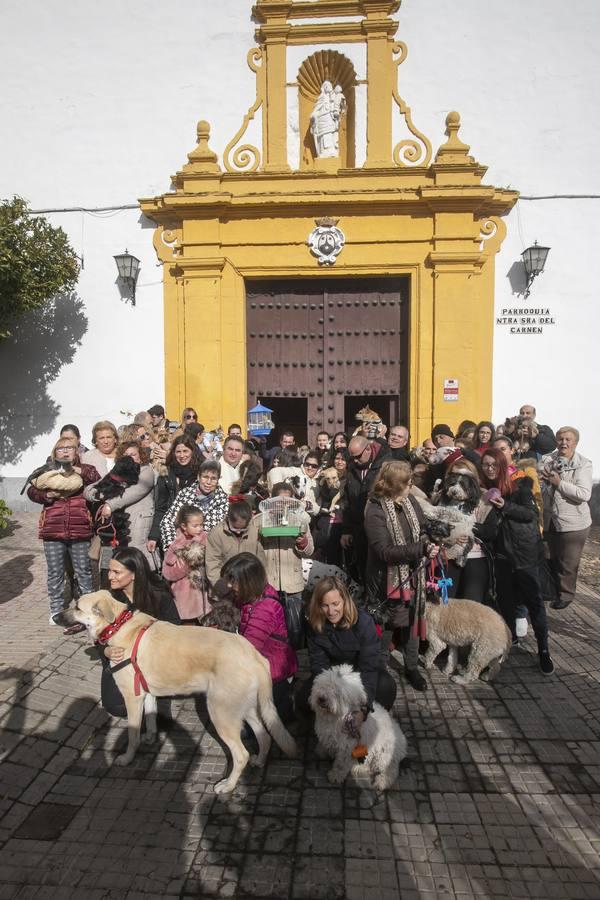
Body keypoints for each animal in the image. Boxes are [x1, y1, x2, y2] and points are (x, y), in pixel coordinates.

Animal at [70, 596, 298, 792]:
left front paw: (127, 758)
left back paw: (228, 786)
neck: (119, 625)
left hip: (221, 714)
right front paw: (150, 738)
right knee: (265, 736)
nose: (60, 615)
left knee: (241, 754)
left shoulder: (132, 698)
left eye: (77, 608)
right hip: (245, 709)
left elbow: (133, 734)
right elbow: (150, 719)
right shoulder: (147, 694)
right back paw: (259, 761)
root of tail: (256, 657)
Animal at [310, 664, 408, 792]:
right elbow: (323, 745)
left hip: (383, 755)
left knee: (390, 770)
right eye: (323, 685)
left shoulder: (347, 748)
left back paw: (381, 782)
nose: (322, 698)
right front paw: (321, 750)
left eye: (337, 691)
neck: (337, 718)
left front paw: (335, 776)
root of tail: (402, 746)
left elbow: (341, 764)